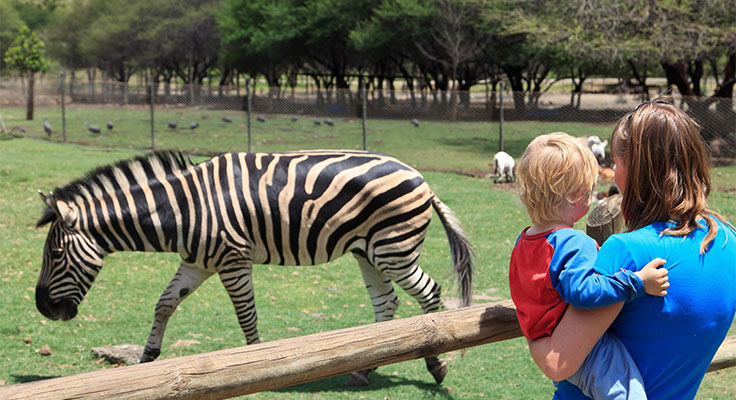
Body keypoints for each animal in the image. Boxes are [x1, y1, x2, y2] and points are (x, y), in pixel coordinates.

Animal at [36, 149, 472, 384]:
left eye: (54, 255)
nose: (43, 308)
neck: (181, 210)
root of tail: (420, 178)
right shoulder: (197, 262)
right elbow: (164, 304)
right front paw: (146, 361)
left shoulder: (233, 259)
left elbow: (247, 317)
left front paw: (257, 369)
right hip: (368, 251)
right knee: (387, 305)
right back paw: (365, 370)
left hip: (392, 248)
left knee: (429, 293)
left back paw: (436, 365)